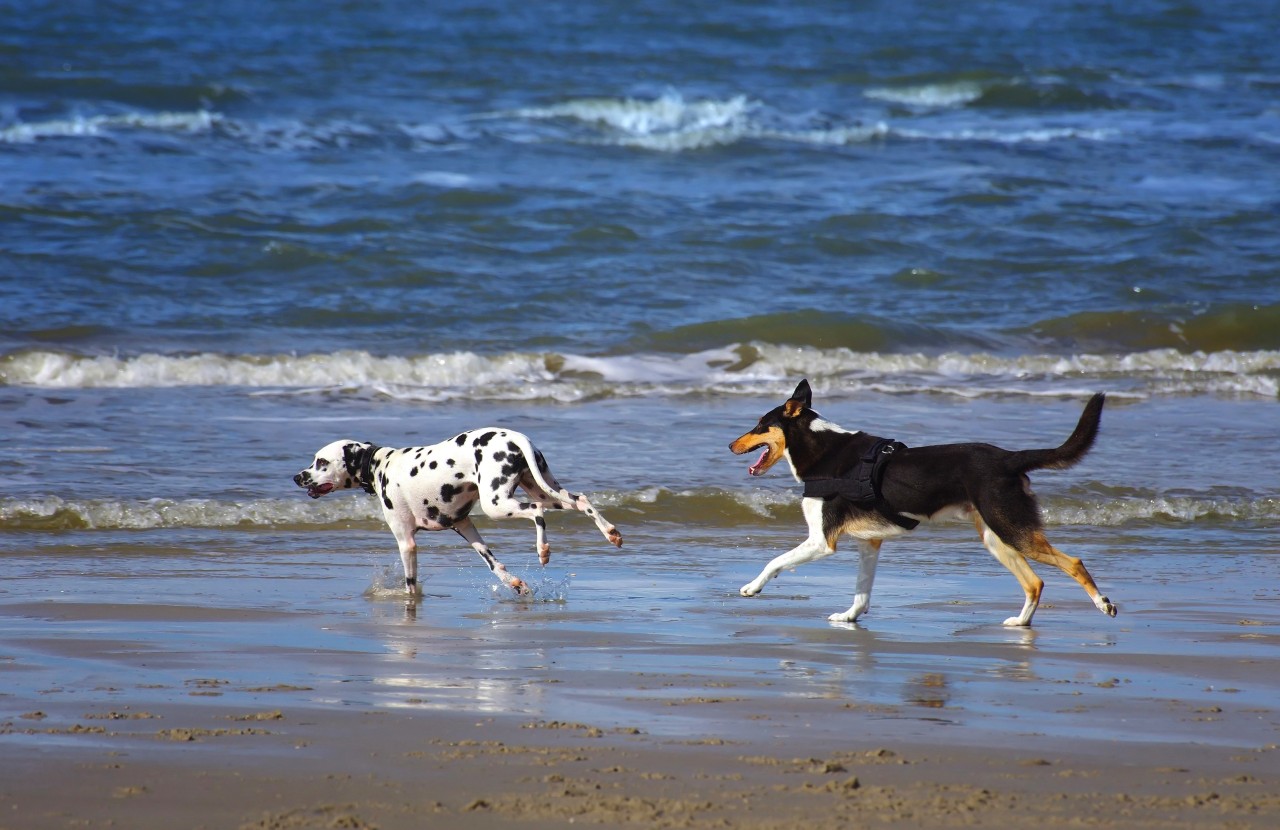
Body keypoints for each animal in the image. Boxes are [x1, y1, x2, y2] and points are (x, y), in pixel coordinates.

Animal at [295, 427, 624, 596]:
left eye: (321, 462)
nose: (298, 477)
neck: (379, 464)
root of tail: (514, 436)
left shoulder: (407, 543)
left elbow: (410, 586)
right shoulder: (465, 527)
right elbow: (494, 564)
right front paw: (514, 583)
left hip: (498, 504)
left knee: (537, 511)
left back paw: (543, 549)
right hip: (543, 488)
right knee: (581, 501)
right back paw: (611, 533)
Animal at [732, 379, 1121, 625]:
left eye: (760, 425)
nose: (730, 445)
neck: (824, 450)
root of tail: (1009, 458)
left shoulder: (821, 541)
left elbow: (775, 561)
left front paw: (752, 587)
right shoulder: (870, 542)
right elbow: (862, 592)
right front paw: (849, 618)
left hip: (1011, 529)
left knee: (1073, 562)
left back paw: (1104, 605)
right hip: (995, 537)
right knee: (1035, 582)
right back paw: (1020, 623)